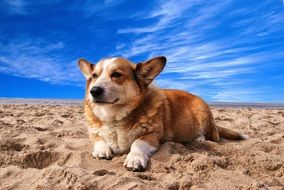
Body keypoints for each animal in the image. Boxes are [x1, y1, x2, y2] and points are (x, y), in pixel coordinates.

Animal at [77, 56, 248, 172]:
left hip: (202, 114)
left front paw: (134, 159)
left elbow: (136, 143)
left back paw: (198, 139)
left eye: (116, 75)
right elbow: (99, 139)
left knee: (211, 135)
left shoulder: (152, 136)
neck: (115, 117)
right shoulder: (93, 132)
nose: (94, 91)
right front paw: (101, 150)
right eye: (94, 76)